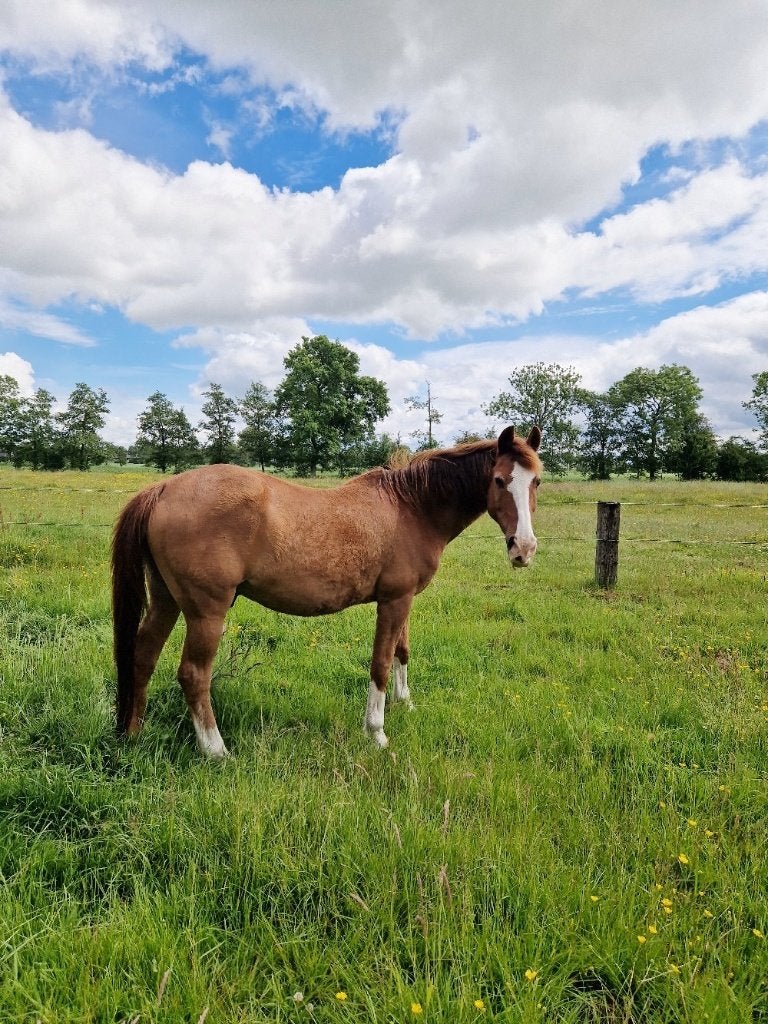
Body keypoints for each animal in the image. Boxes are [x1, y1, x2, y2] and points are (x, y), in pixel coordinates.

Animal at [111, 425, 542, 756]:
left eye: (536, 481)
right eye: (500, 480)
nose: (523, 549)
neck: (412, 506)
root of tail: (162, 489)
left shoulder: (404, 600)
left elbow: (401, 651)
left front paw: (405, 703)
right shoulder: (393, 601)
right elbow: (380, 664)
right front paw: (377, 733)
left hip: (166, 600)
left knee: (143, 655)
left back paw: (134, 734)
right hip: (206, 613)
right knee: (193, 675)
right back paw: (216, 751)